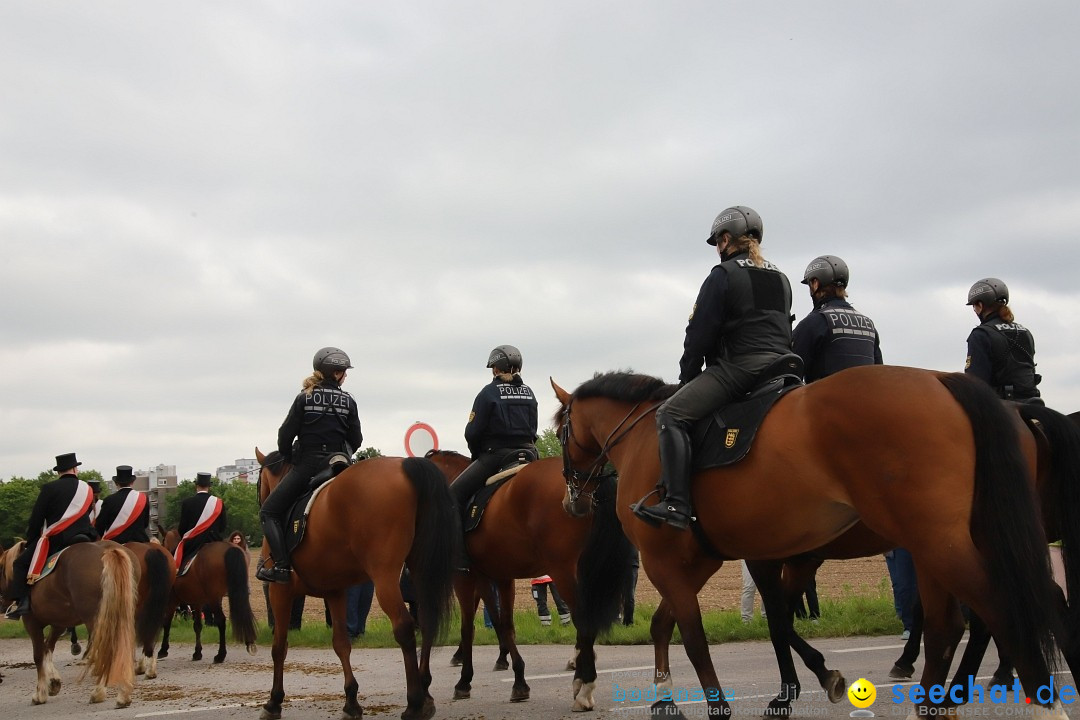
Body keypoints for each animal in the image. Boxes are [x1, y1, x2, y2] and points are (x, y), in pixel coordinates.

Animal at [0, 539, 139, 703]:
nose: (2, 602)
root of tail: (109, 550)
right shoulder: (59, 623)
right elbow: (48, 648)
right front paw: (53, 682)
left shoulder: (31, 622)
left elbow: (38, 654)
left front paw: (40, 693)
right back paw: (124, 693)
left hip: (96, 620)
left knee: (106, 650)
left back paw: (100, 692)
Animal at [158, 524, 258, 664]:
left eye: (162, 542)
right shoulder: (197, 602)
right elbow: (197, 625)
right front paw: (197, 653)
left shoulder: (172, 600)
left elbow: (167, 622)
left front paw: (163, 650)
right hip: (237, 593)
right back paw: (249, 643)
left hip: (214, 598)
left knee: (221, 620)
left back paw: (220, 655)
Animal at [258, 446, 460, 716]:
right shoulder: (335, 592)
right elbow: (341, 644)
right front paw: (351, 700)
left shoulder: (280, 592)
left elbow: (279, 646)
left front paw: (274, 701)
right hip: (420, 570)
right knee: (427, 620)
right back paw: (425, 691)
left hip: (384, 575)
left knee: (404, 627)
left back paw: (415, 702)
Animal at [423, 451, 630, 708]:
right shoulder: (499, 577)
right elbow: (504, 623)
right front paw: (518, 679)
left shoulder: (466, 577)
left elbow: (469, 627)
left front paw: (465, 680)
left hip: (564, 571)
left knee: (583, 619)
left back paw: (583, 686)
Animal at [552, 369, 1067, 716]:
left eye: (560, 428)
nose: (571, 498)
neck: (645, 438)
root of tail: (943, 380)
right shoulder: (710, 560)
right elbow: (673, 625)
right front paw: (663, 695)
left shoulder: (678, 562)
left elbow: (718, 635)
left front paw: (759, 698)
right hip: (942, 545)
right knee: (955, 624)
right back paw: (940, 701)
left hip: (941, 543)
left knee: (1003, 608)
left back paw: (1037, 702)